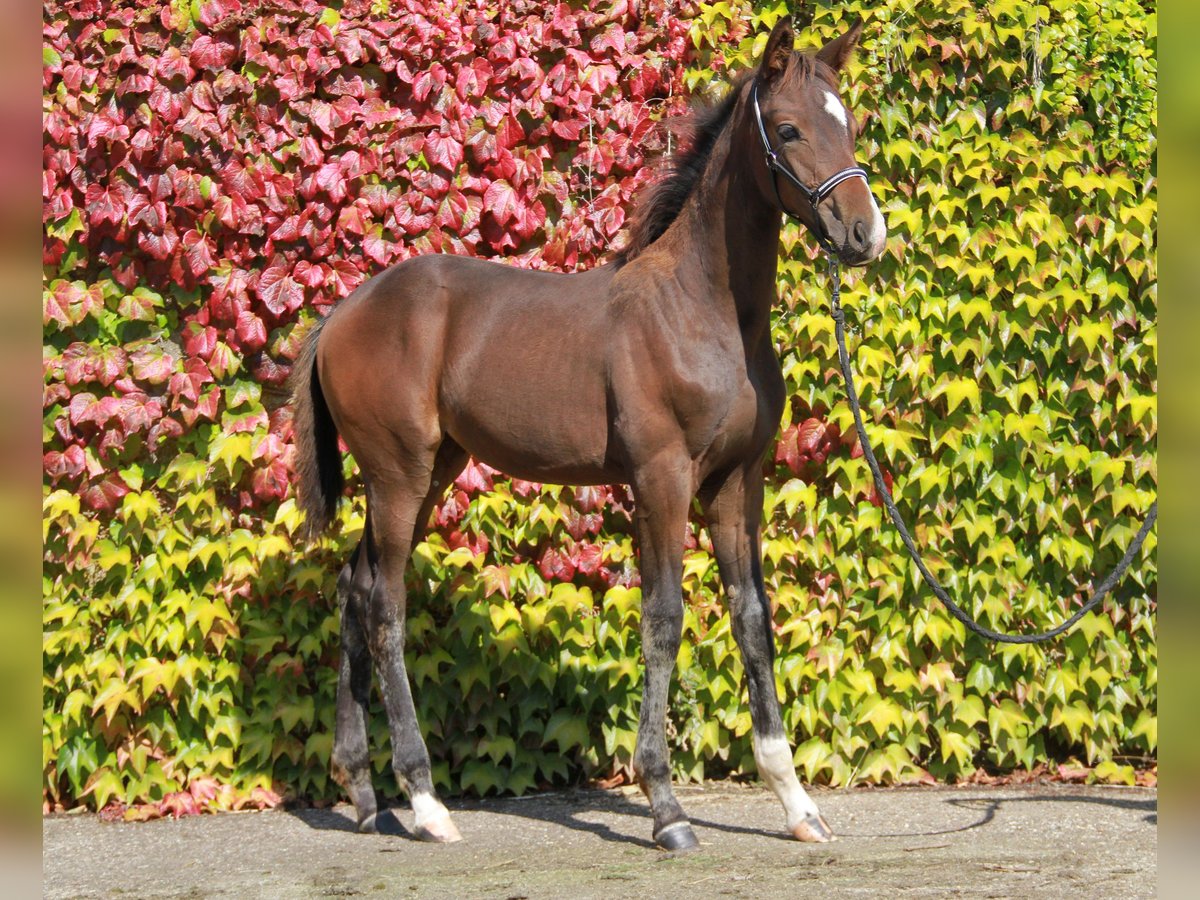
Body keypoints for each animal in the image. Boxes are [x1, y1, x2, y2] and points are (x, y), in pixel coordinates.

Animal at [290, 15, 888, 854]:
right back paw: (428, 803)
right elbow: (665, 619)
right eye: (793, 129)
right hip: (397, 475)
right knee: (384, 604)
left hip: (432, 470)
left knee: (352, 585)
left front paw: (797, 805)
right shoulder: (661, 478)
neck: (702, 309)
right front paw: (667, 808)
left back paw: (368, 796)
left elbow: (752, 617)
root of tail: (343, 312)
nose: (866, 234)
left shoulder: (738, 483)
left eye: (851, 124)